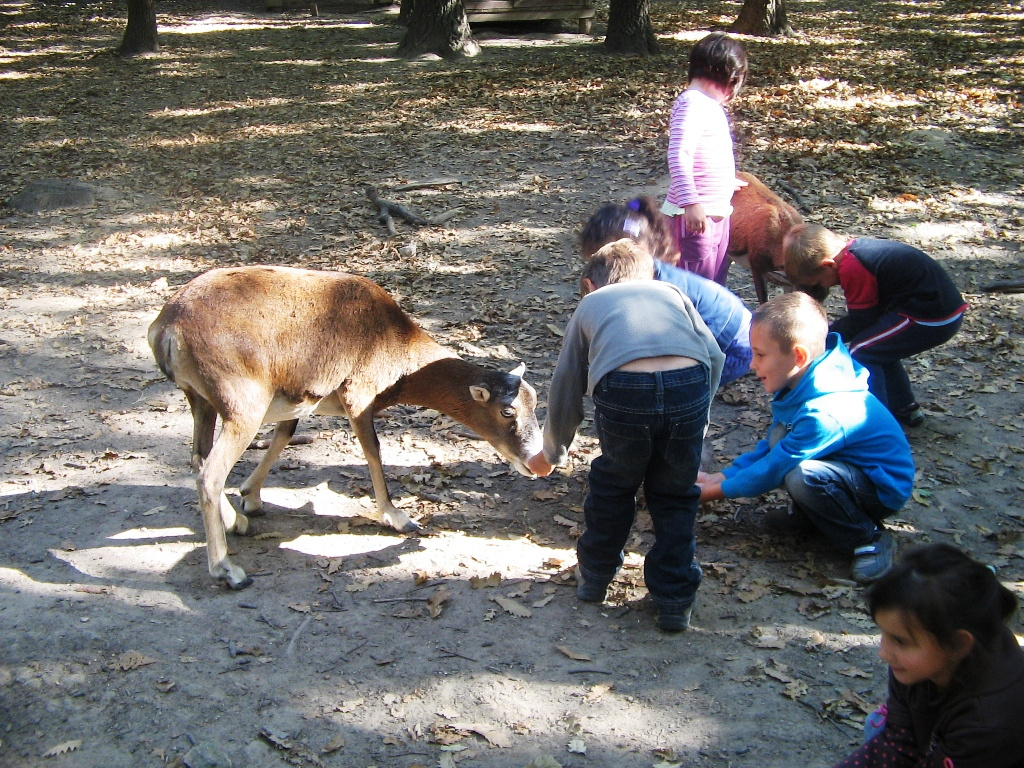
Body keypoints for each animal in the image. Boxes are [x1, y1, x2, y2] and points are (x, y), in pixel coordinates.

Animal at [148, 268, 544, 593]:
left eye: (536, 401)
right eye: (507, 411)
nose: (539, 462)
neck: (397, 346)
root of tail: (166, 330)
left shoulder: (298, 399)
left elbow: (285, 434)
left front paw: (252, 498)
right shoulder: (358, 394)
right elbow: (374, 449)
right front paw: (399, 519)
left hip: (201, 399)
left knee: (199, 459)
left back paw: (237, 523)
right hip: (241, 405)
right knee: (211, 473)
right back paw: (228, 571)